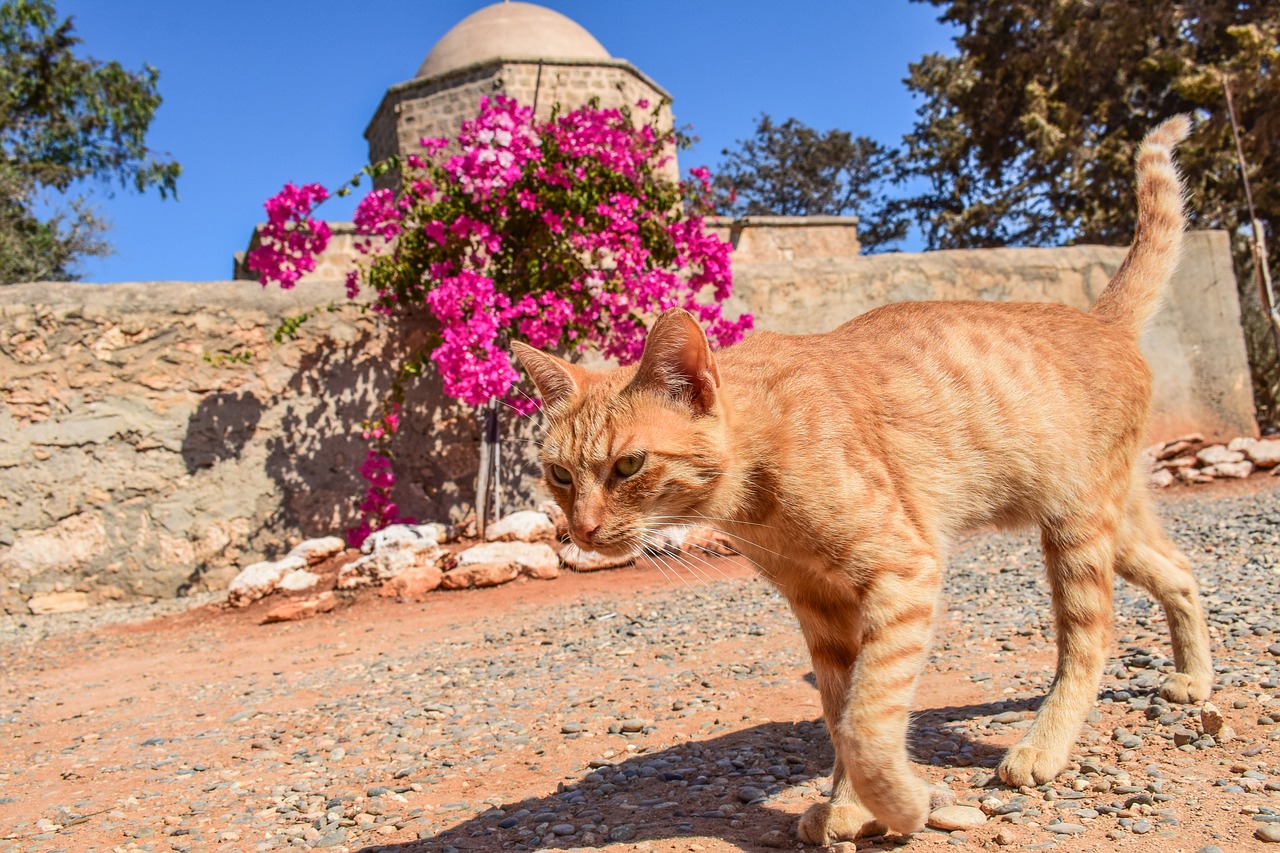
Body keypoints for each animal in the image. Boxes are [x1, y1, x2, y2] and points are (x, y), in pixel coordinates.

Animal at [509, 114, 1208, 835]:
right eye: (559, 474)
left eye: (628, 464)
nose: (581, 531)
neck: (760, 499)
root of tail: (1102, 319)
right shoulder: (820, 608)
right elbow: (841, 714)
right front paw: (850, 807)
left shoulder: (903, 571)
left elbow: (868, 722)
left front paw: (904, 804)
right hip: (1110, 525)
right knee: (1180, 570)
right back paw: (1193, 678)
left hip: (1076, 530)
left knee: (1090, 637)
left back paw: (1042, 746)